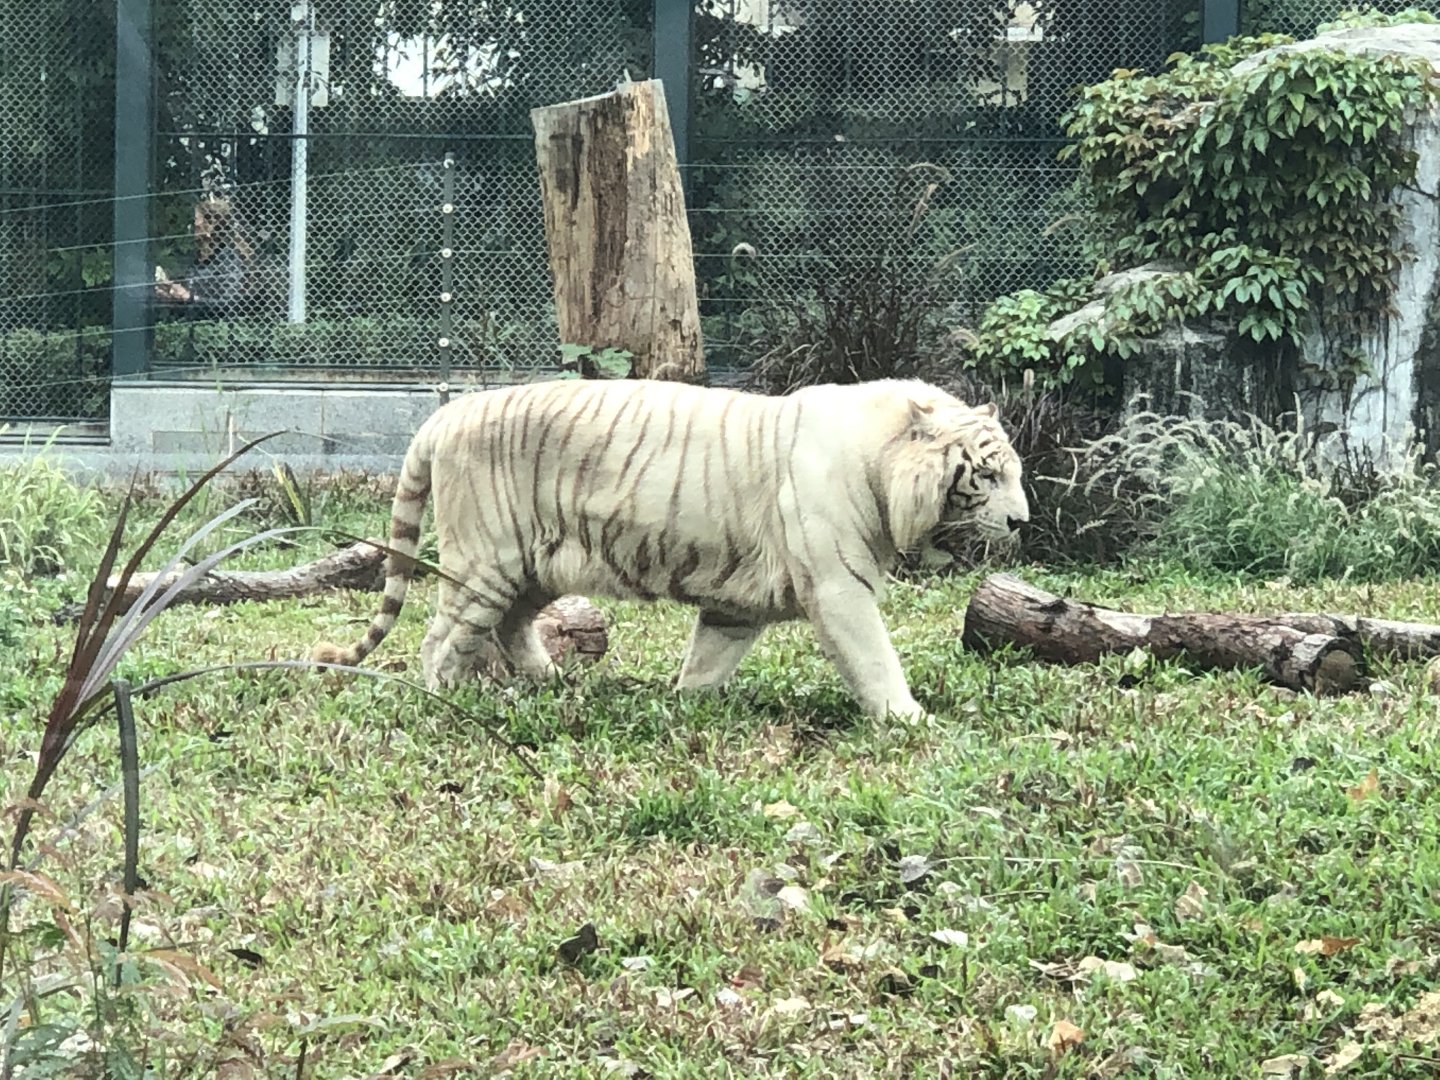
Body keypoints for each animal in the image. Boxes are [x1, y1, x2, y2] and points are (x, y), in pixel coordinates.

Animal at [311, 377, 1028, 720]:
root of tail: (443, 415)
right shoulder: (837, 587)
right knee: (440, 640)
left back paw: (549, 680)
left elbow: (709, 659)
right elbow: (875, 657)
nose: (1023, 521)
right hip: (487, 560)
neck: (881, 468)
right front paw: (908, 719)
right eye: (988, 475)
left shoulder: (737, 606)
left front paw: (687, 703)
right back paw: (448, 697)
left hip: (535, 564)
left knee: (512, 623)